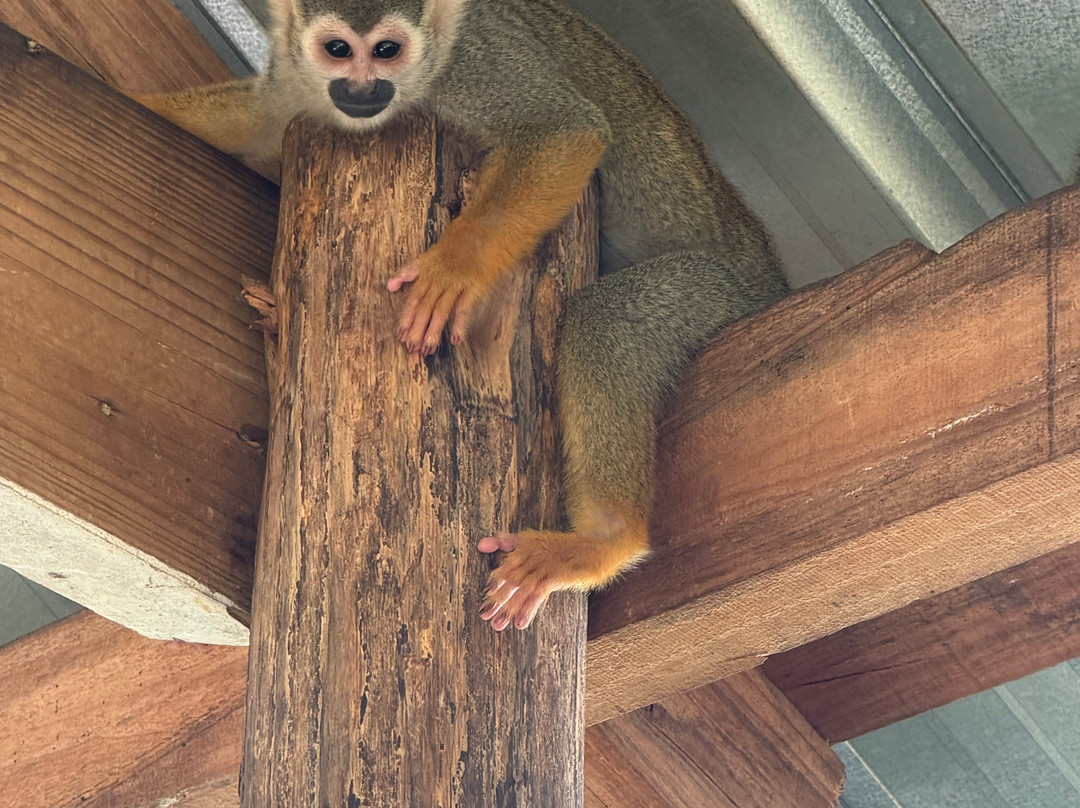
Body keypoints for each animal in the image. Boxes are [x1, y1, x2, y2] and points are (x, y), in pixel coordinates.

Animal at [136, 0, 789, 631]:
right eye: (338, 49)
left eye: (388, 50)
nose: (363, 90)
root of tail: (770, 272)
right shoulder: (298, 77)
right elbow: (260, 118)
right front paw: (141, 100)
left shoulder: (472, 63)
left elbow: (566, 131)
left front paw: (455, 271)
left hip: (721, 291)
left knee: (612, 320)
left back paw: (605, 539)